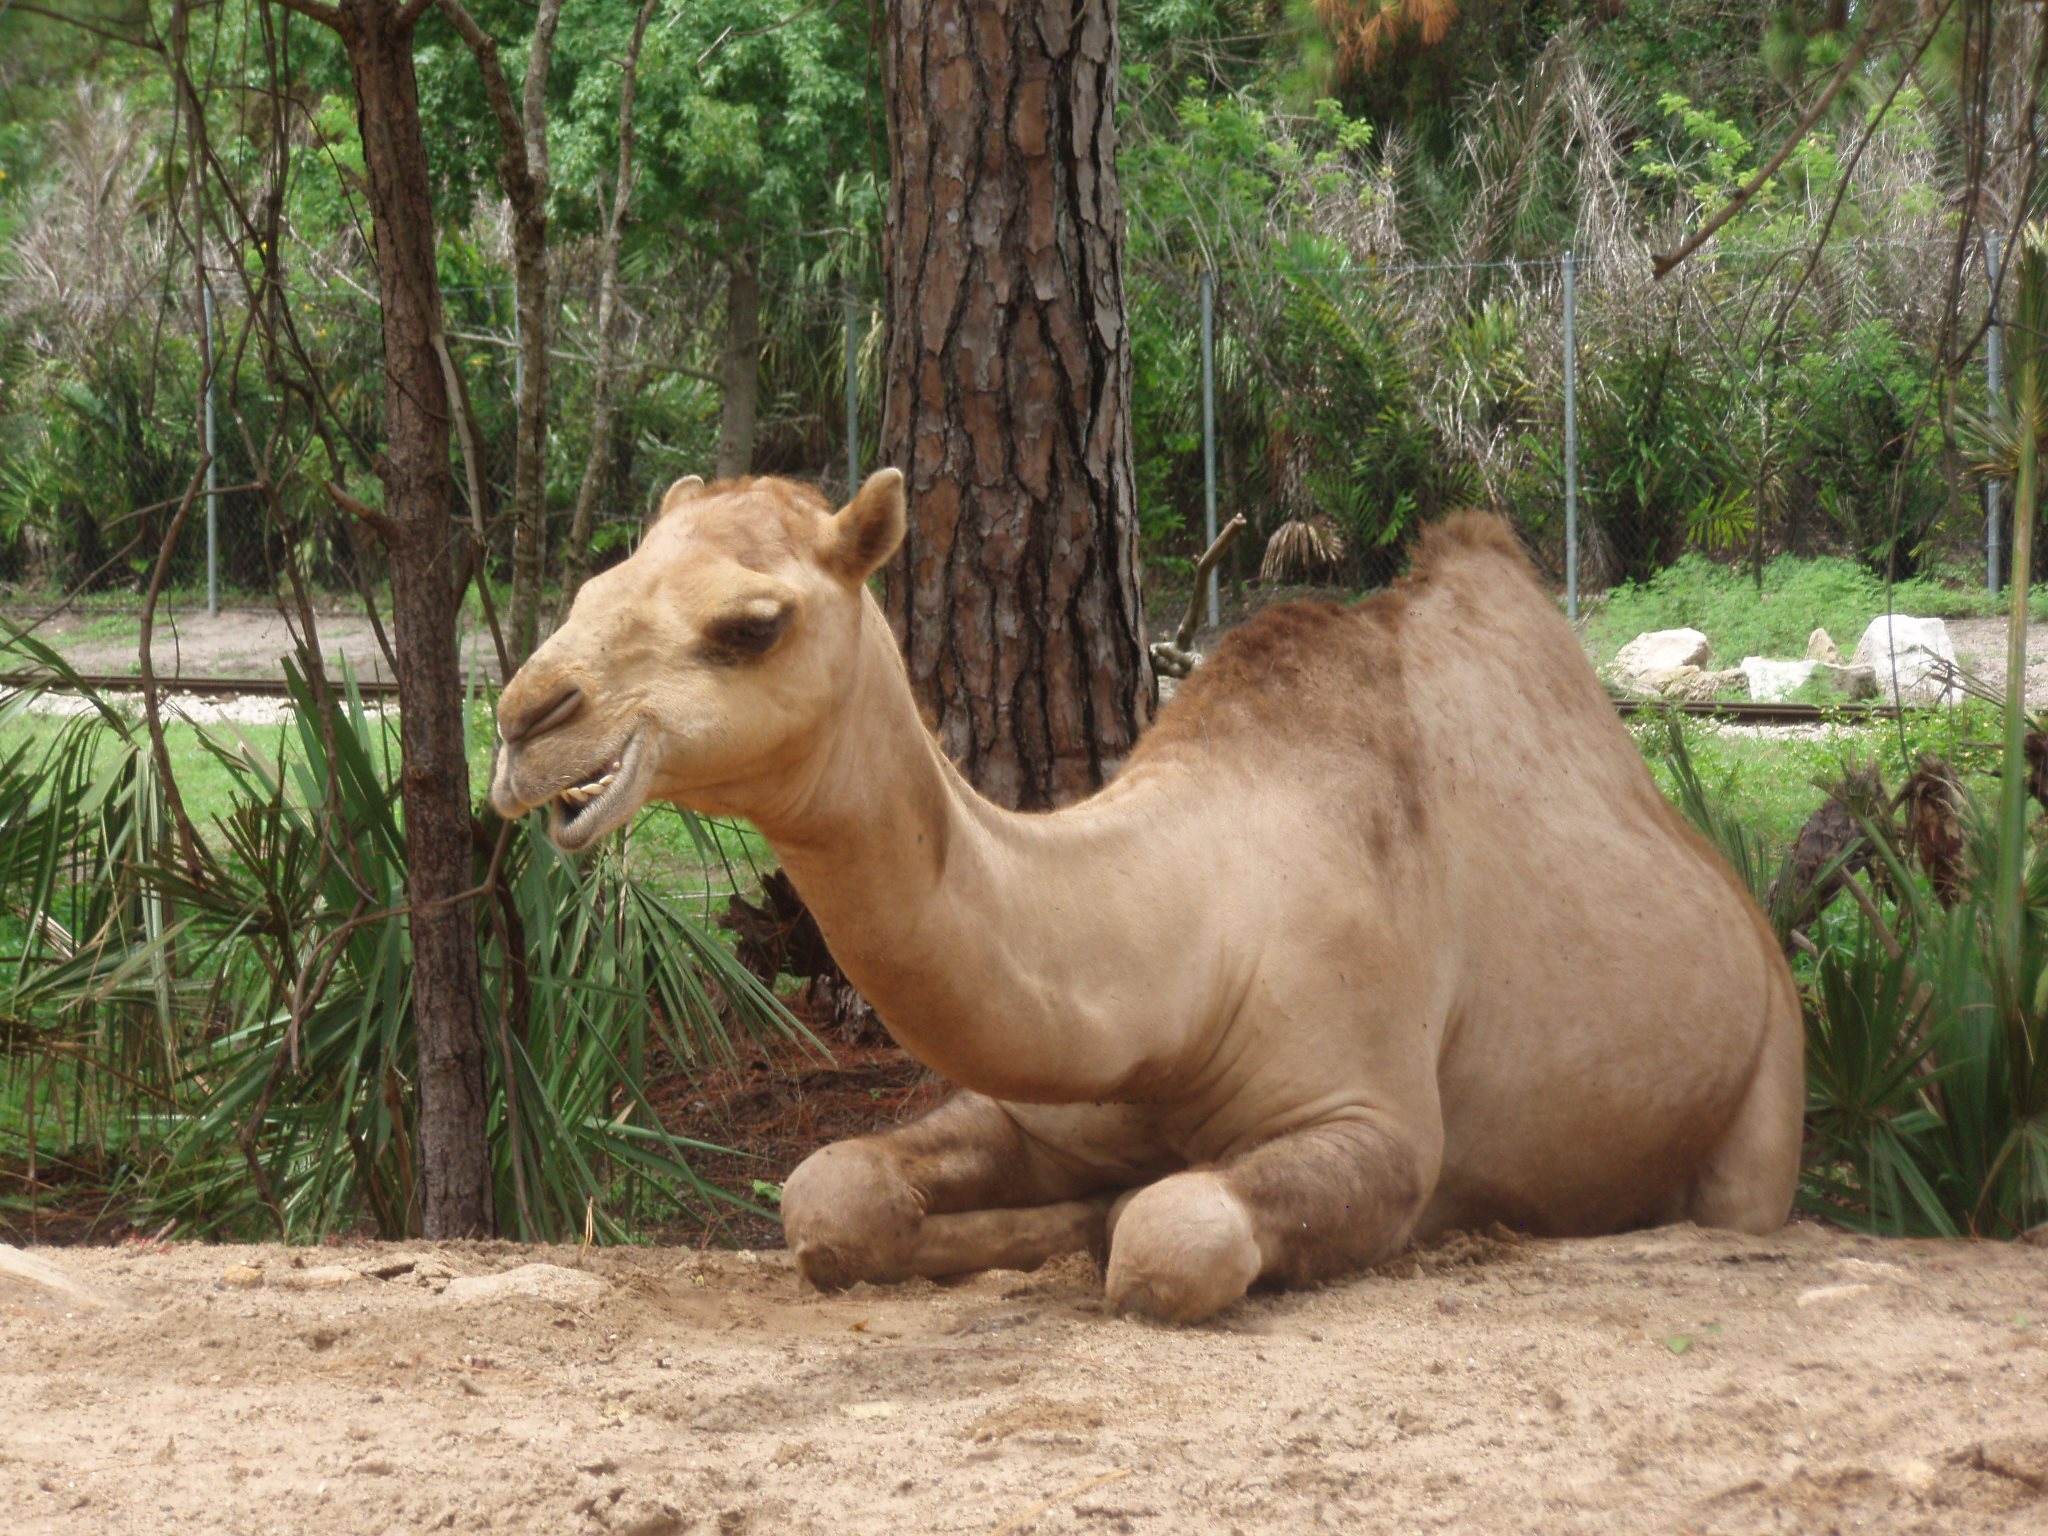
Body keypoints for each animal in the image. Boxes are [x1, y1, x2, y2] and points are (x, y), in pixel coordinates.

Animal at [491, 470, 1803, 1323]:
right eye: (598, 582)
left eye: (752, 623)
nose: (521, 720)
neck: (1189, 949)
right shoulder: (1050, 1100)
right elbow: (831, 1194)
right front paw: (1017, 1230)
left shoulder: (1375, 1123)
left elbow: (1168, 1239)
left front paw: (1107, 1228)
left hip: (1766, 1092)